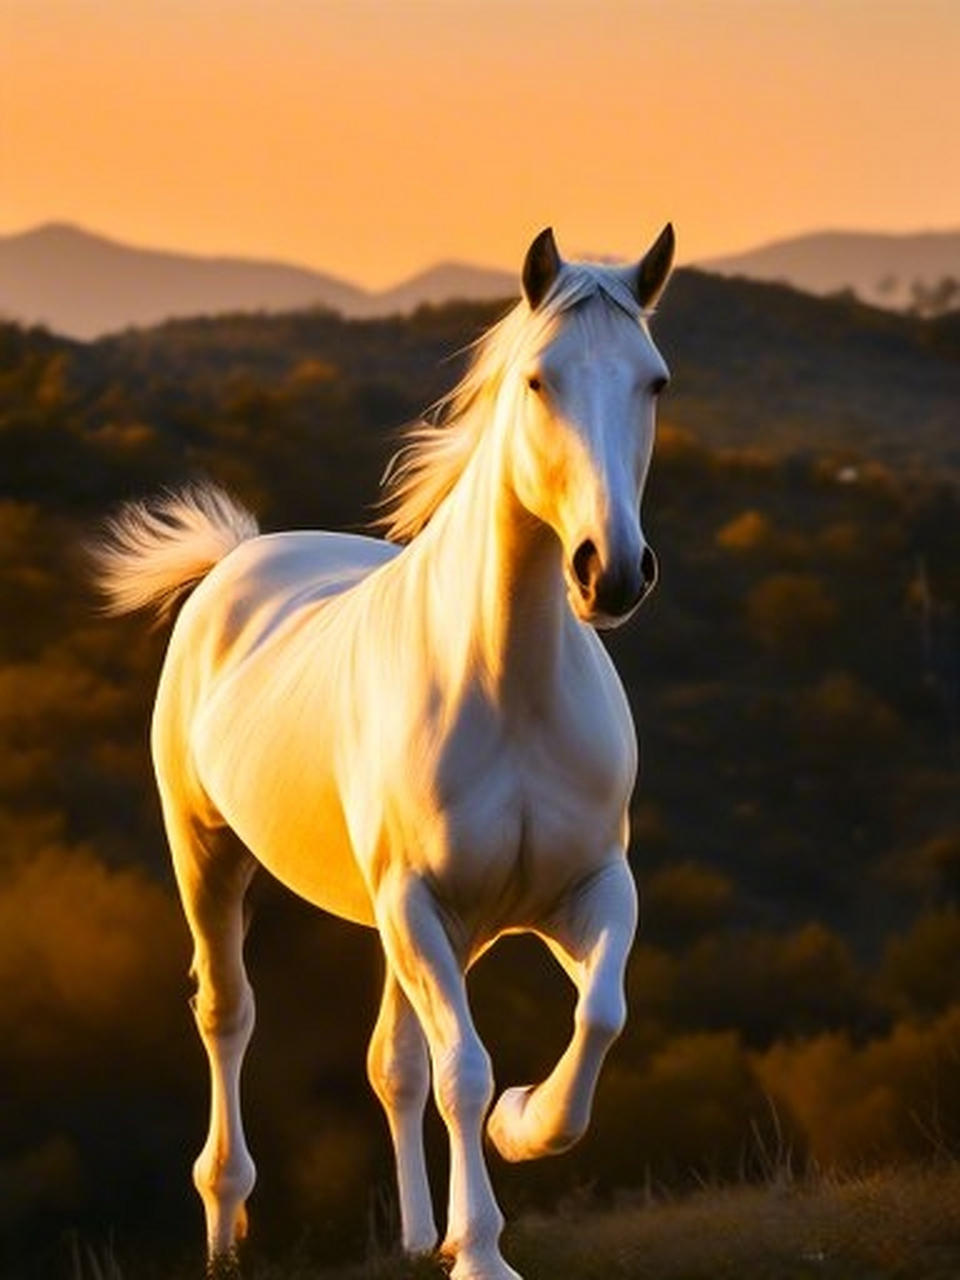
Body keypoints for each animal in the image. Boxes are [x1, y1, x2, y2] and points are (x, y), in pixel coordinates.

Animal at [91, 223, 674, 1280]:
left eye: (653, 381)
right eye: (539, 380)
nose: (609, 572)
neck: (510, 685)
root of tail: (235, 558)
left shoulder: (587, 890)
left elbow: (596, 1019)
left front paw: (524, 1128)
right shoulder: (420, 904)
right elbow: (466, 1071)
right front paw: (482, 1251)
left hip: (416, 926)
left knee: (391, 1062)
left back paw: (412, 1235)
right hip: (209, 858)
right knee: (228, 1015)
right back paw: (226, 1231)